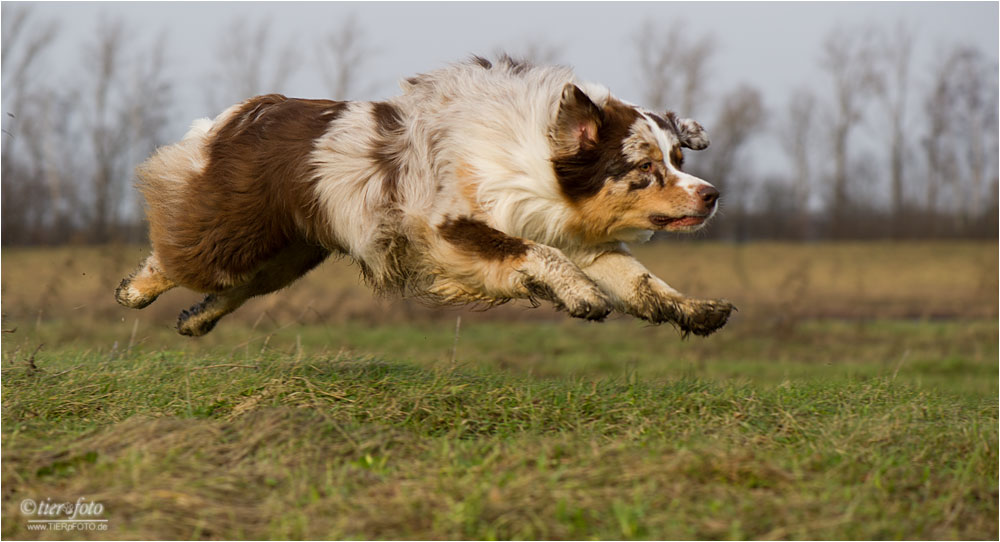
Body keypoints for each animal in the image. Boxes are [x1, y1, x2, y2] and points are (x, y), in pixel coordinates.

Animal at [117, 55, 736, 336]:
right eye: (646, 168)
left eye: (678, 160)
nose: (712, 195)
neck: (538, 163)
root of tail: (241, 114)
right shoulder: (449, 230)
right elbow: (537, 255)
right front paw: (581, 296)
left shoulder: (579, 237)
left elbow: (640, 281)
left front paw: (698, 310)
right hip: (238, 228)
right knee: (181, 256)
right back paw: (135, 291)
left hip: (290, 253)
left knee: (237, 287)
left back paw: (196, 320)